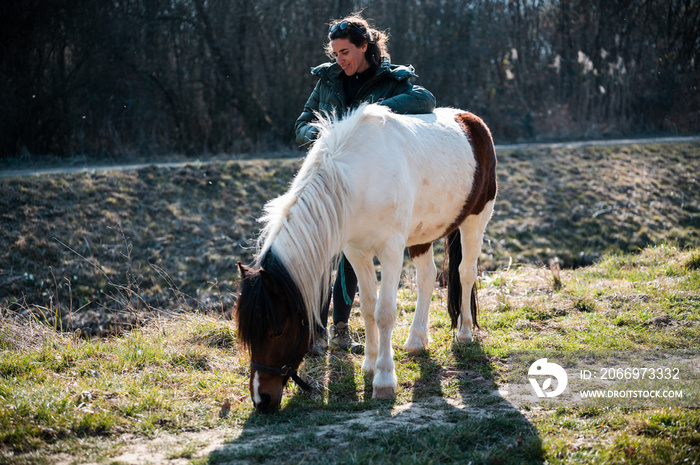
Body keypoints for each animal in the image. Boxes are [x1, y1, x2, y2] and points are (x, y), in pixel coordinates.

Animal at [237, 104, 498, 410]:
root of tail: (472, 121)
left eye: (276, 331)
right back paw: (416, 339)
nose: (261, 399)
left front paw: (384, 380)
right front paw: (371, 364)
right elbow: (368, 307)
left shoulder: (391, 251)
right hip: (421, 238)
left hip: (475, 220)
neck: (356, 181)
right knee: (427, 278)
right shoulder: (356, 252)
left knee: (465, 273)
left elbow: (384, 312)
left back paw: (465, 333)